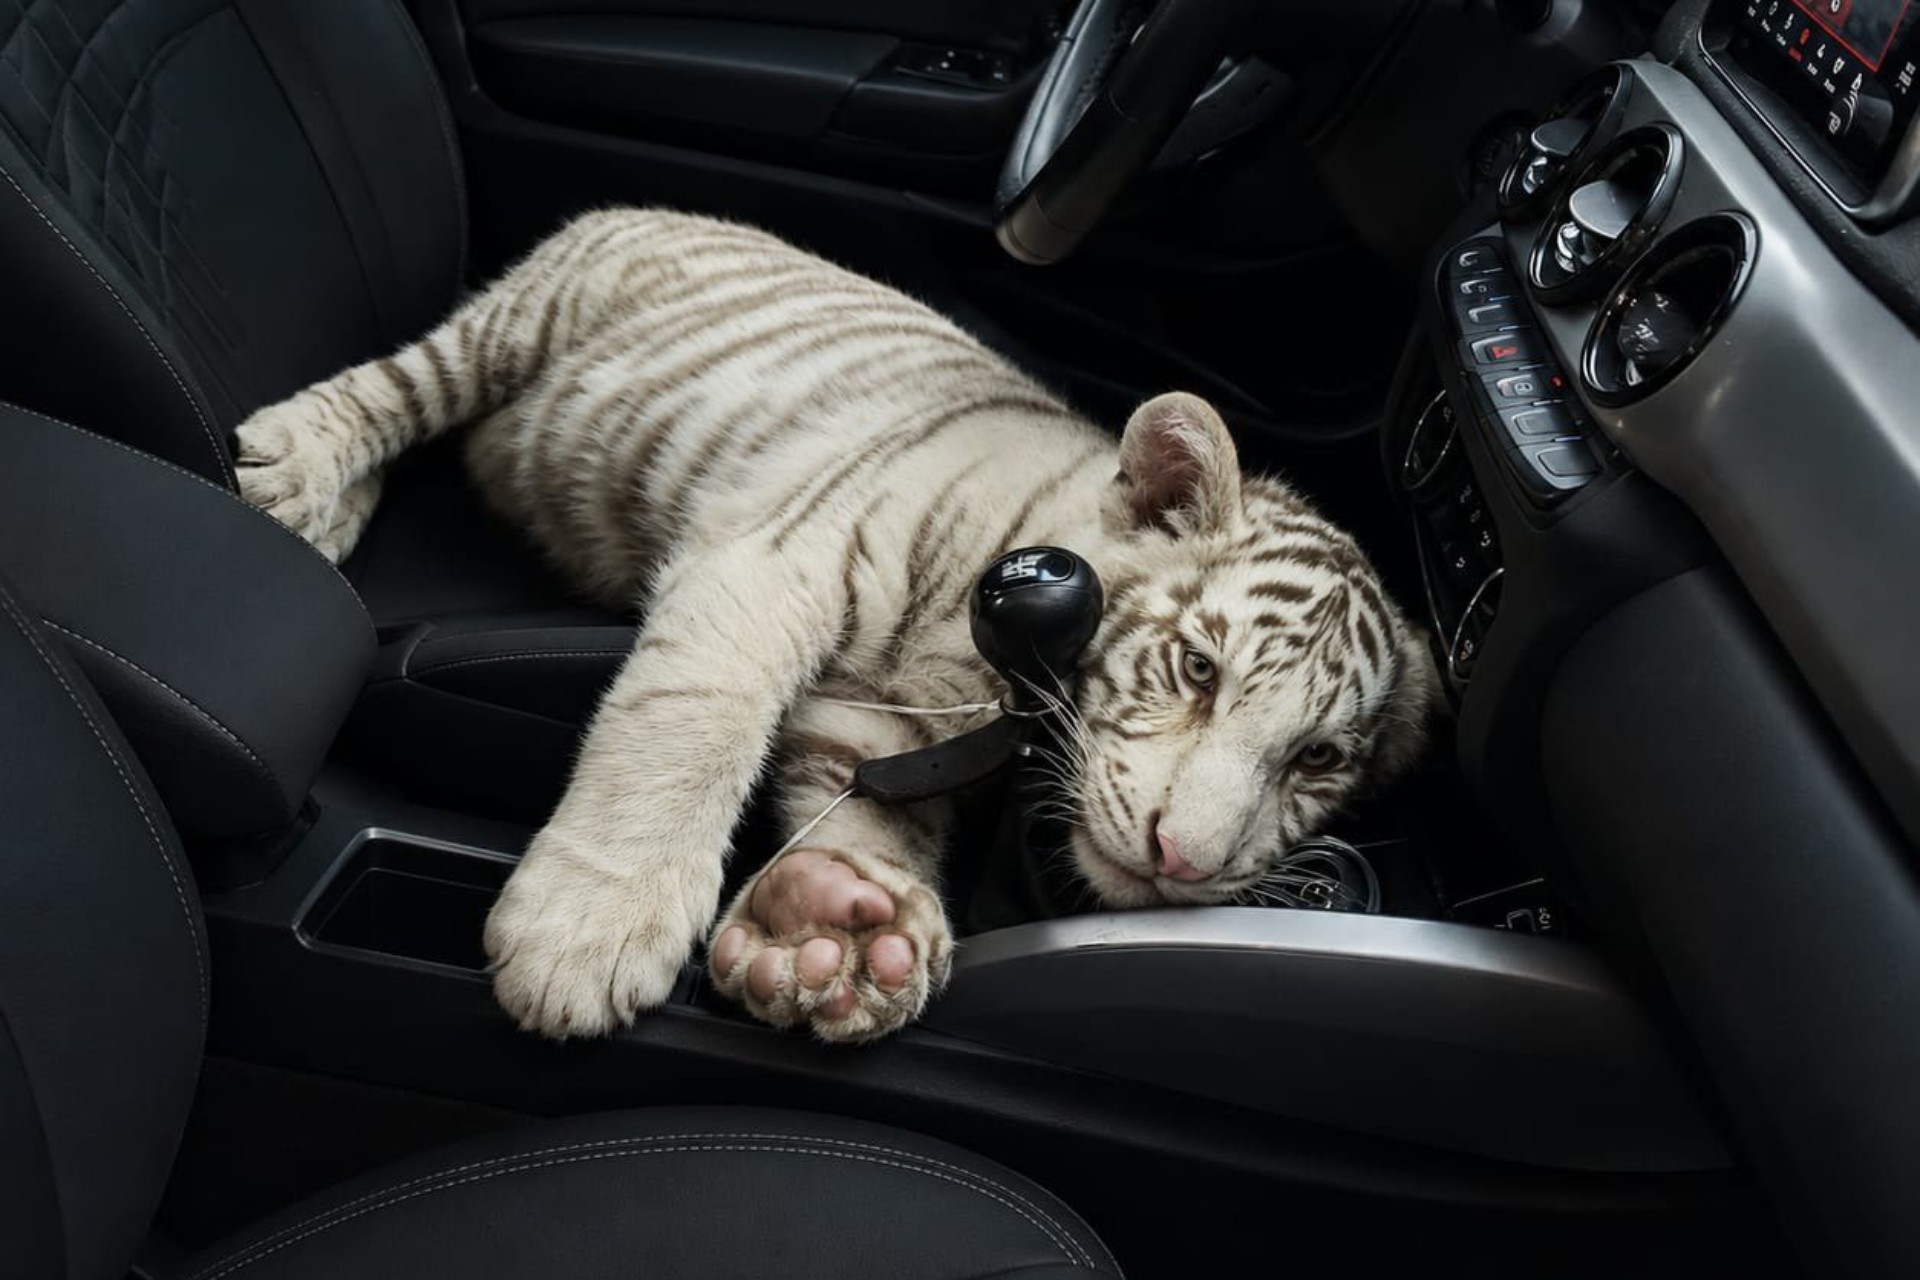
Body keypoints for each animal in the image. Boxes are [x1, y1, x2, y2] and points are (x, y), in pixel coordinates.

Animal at [234, 207, 1441, 1044]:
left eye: (1318, 759)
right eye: (1197, 668)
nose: (1183, 861)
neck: (989, 671)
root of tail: (667, 206)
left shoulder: (884, 720)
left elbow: (869, 815)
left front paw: (840, 929)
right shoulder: (771, 561)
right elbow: (688, 727)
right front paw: (586, 930)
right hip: (521, 321)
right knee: (400, 385)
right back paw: (293, 471)